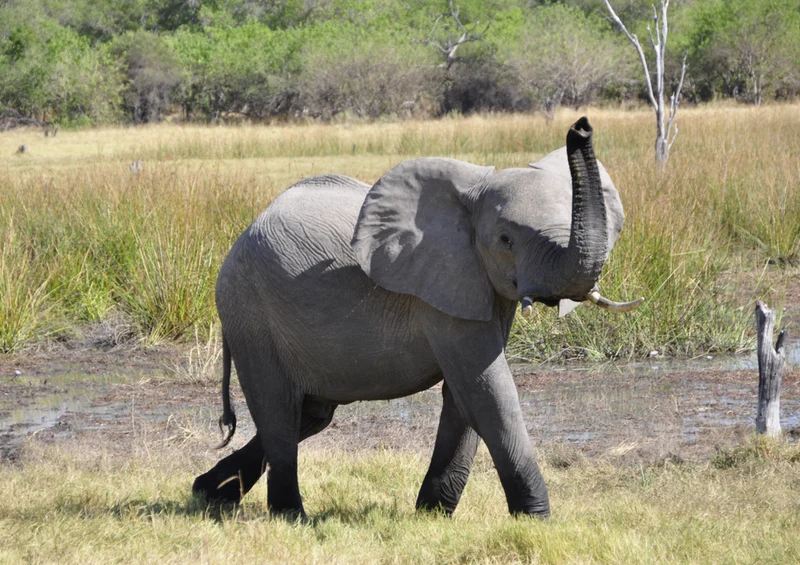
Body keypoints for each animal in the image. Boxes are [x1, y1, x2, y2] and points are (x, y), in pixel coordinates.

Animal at [192, 117, 642, 519]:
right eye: (505, 240)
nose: (581, 127)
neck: (469, 200)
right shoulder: (440, 289)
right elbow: (487, 391)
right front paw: (536, 519)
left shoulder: (480, 288)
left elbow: (465, 396)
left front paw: (433, 515)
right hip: (250, 313)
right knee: (280, 413)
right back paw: (289, 515)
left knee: (311, 413)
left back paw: (209, 492)